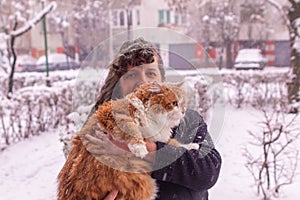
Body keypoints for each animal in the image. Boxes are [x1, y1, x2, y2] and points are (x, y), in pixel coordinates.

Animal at [57, 81, 199, 200]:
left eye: (184, 104)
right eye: (174, 103)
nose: (183, 112)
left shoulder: (157, 138)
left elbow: (175, 144)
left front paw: (192, 146)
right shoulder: (112, 114)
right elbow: (132, 129)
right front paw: (140, 148)